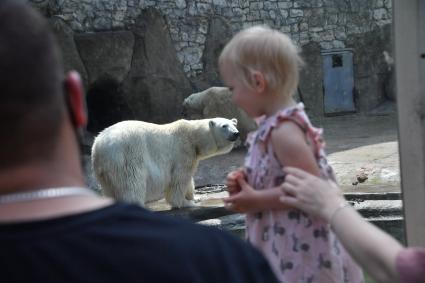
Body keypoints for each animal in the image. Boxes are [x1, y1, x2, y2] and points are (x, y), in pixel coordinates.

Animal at [91, 117, 238, 209]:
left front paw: (194, 198)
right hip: (127, 155)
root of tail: (99, 146)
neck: (193, 136)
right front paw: (186, 203)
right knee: (132, 183)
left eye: (234, 124)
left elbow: (188, 179)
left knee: (110, 189)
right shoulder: (182, 151)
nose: (236, 133)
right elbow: (179, 179)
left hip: (103, 170)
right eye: (224, 126)